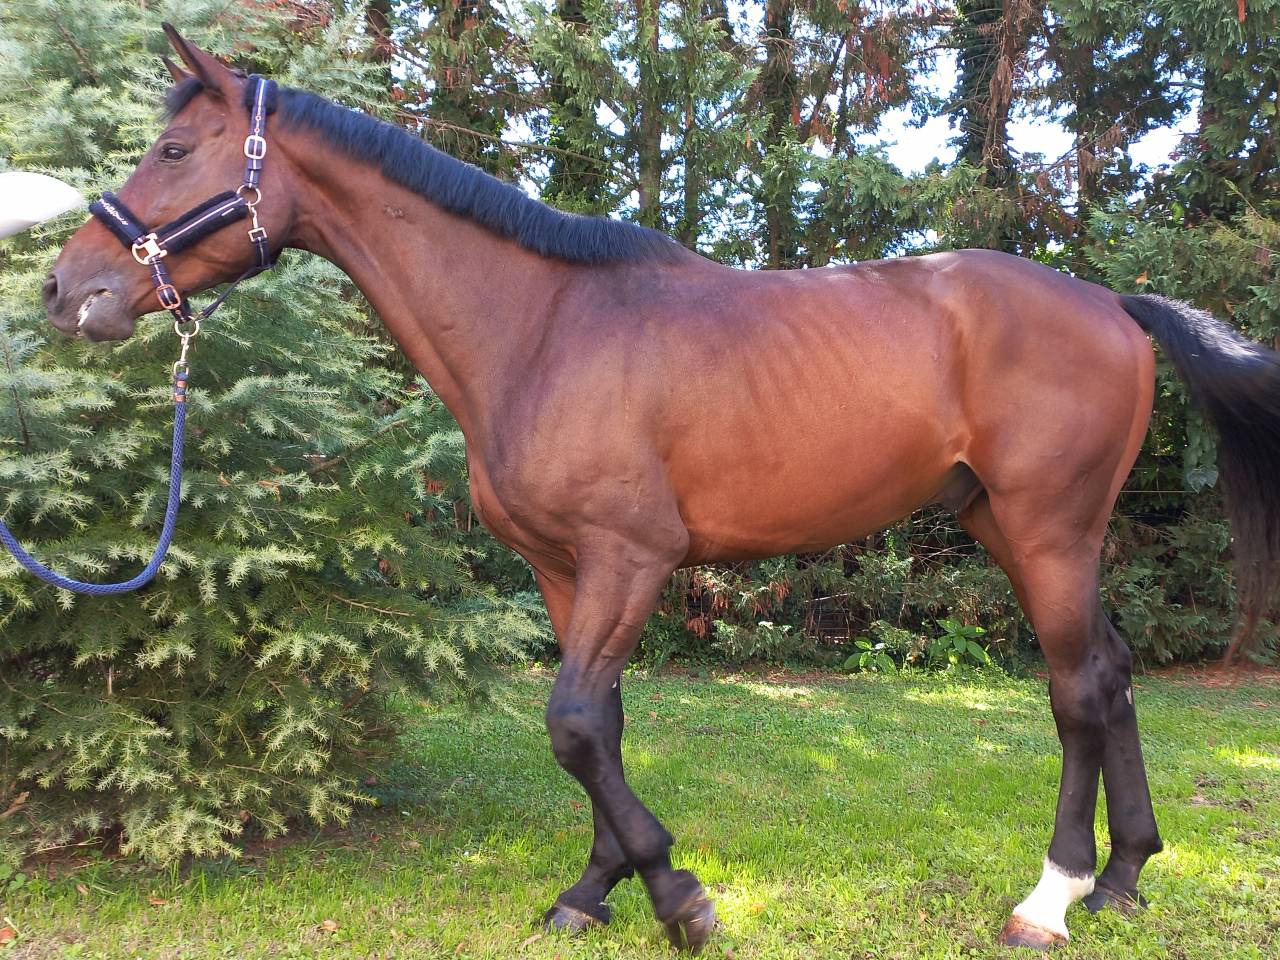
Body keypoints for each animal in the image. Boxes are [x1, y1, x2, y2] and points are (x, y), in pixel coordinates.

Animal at [40, 26, 1280, 954]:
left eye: (173, 148)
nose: (64, 290)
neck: (543, 329)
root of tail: (1112, 303)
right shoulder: (565, 571)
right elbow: (603, 728)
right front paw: (592, 894)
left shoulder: (629, 559)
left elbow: (573, 725)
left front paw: (680, 897)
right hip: (1022, 530)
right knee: (1110, 677)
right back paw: (1122, 878)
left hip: (1046, 527)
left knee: (1076, 692)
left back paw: (1049, 898)